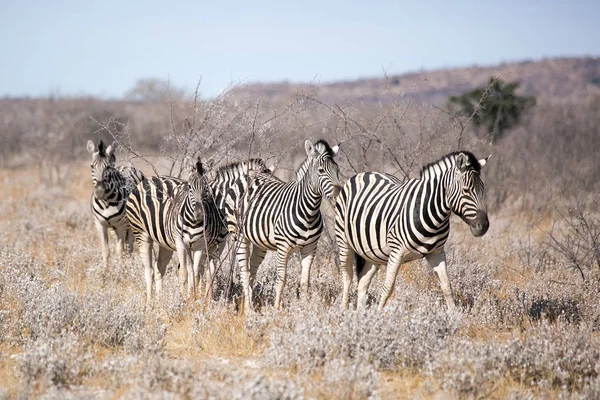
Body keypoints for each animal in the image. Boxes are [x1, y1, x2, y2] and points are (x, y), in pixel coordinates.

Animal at [86, 140, 145, 268]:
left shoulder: (121, 225)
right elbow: (106, 250)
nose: (99, 192)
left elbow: (120, 250)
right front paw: (106, 271)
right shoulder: (100, 225)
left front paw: (121, 270)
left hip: (132, 223)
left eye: (107, 167)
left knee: (129, 246)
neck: (106, 202)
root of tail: (127, 166)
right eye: (92, 166)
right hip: (114, 228)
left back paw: (130, 265)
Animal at [125, 156, 226, 304]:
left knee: (159, 268)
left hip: (164, 241)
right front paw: (182, 299)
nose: (199, 214)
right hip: (141, 233)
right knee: (148, 270)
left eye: (206, 187)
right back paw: (149, 303)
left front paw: (193, 300)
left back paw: (160, 301)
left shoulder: (200, 244)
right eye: (189, 187)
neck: (194, 222)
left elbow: (195, 272)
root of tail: (149, 179)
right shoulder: (180, 242)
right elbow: (183, 272)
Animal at [234, 141, 340, 312]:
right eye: (321, 170)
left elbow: (305, 282)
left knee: (252, 271)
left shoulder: (310, 247)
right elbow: (281, 279)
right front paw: (277, 310)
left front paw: (304, 310)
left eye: (338, 170)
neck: (309, 211)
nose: (338, 194)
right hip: (239, 235)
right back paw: (249, 309)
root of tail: (249, 173)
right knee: (244, 271)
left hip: (258, 241)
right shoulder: (283, 247)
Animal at [336, 152, 490, 310]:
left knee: (362, 283)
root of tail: (365, 173)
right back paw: (344, 309)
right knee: (347, 277)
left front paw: (454, 315)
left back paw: (361, 314)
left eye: (483, 189)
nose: (484, 226)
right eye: (466, 190)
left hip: (372, 254)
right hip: (344, 241)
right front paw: (379, 314)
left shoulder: (437, 253)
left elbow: (447, 286)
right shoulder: (396, 252)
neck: (432, 213)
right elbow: (387, 289)